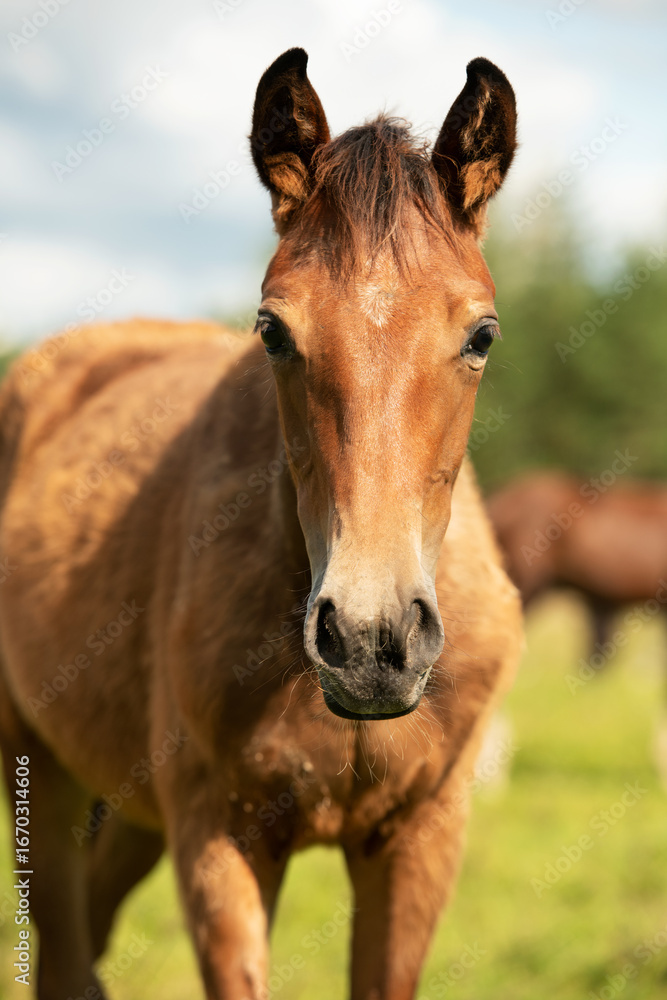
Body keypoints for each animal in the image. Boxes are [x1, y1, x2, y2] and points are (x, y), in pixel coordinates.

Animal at [0, 48, 521, 999]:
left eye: (481, 335)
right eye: (273, 330)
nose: (370, 641)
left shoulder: (419, 839)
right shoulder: (220, 836)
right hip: (38, 773)